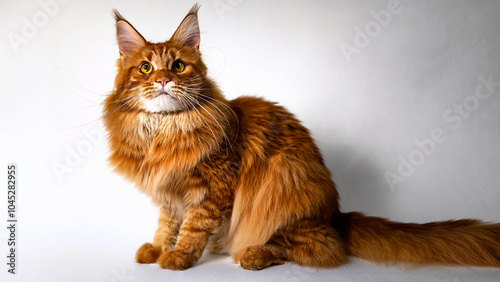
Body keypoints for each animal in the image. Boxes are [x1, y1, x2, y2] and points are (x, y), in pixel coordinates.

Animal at [102, 3, 500, 268]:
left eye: (178, 66)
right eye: (145, 68)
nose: (162, 80)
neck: (162, 131)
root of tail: (335, 214)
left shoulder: (214, 187)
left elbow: (193, 227)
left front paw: (178, 257)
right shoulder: (170, 194)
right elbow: (167, 224)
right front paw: (156, 249)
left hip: (284, 176)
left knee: (321, 248)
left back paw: (252, 253)